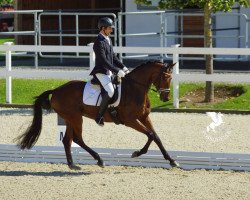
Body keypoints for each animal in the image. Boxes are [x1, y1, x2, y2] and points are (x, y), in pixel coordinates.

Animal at [15, 61, 180, 170]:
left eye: (171, 78)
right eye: (165, 77)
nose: (166, 98)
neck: (135, 88)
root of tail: (56, 90)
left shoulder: (144, 117)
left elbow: (156, 137)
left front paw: (172, 160)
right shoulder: (130, 120)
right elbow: (150, 135)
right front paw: (137, 153)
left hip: (70, 119)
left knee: (68, 140)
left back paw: (72, 165)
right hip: (75, 118)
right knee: (77, 139)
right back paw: (98, 160)